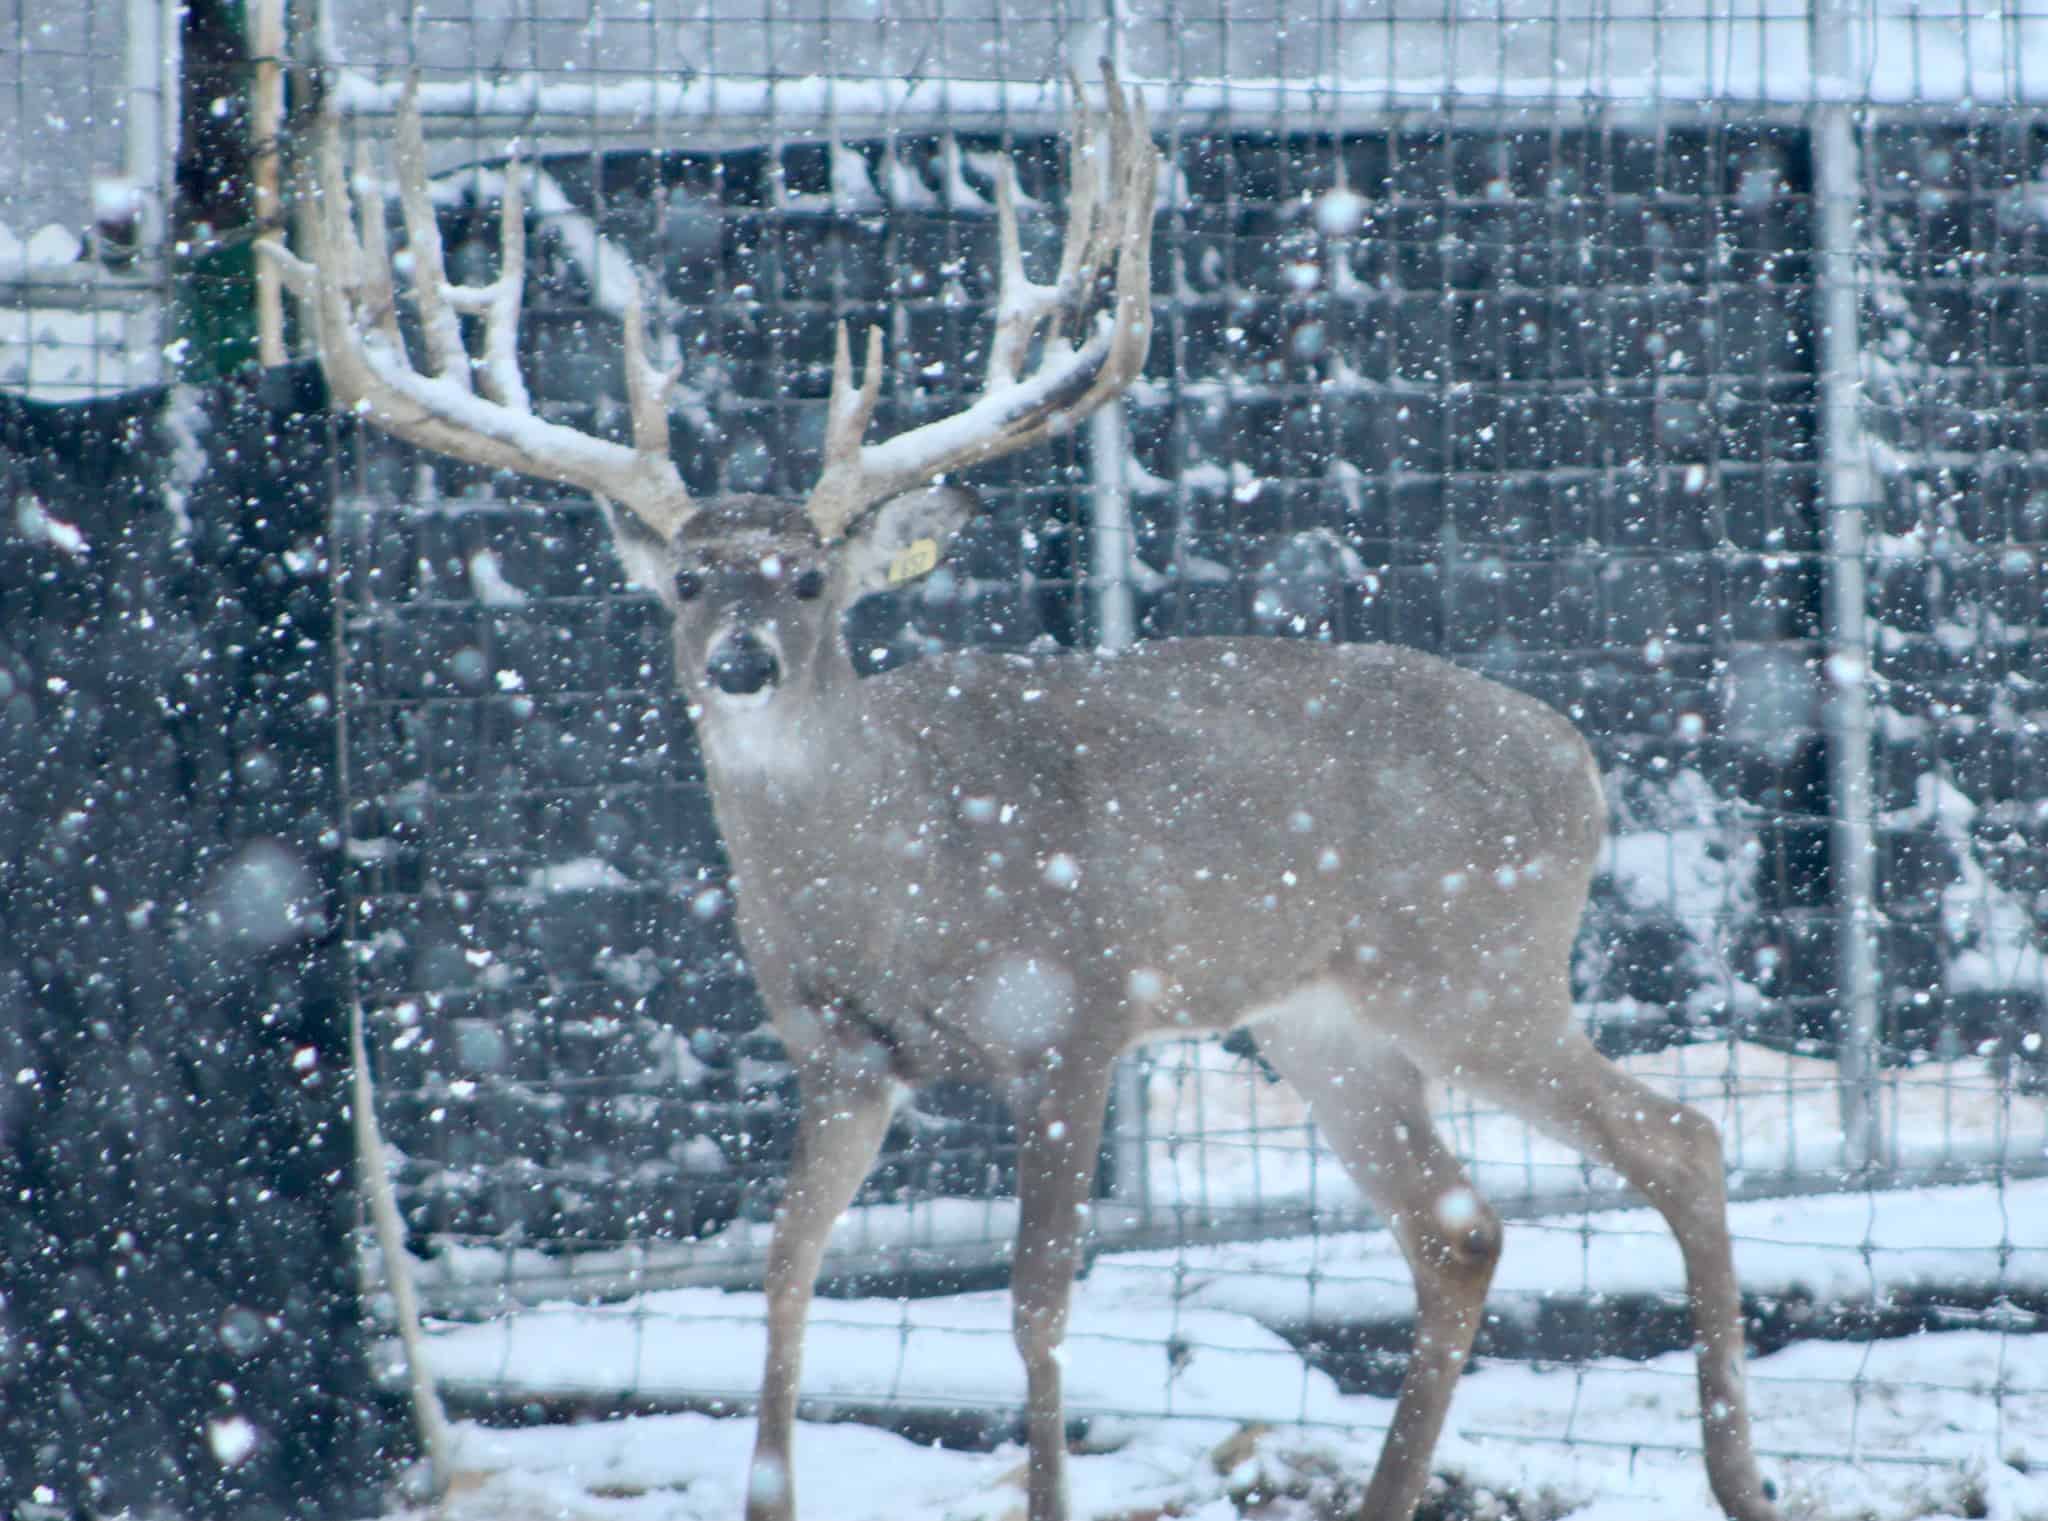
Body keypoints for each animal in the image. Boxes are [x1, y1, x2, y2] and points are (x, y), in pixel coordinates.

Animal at [267, 66, 1782, 1521]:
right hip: (1318, 1019)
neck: (899, 878)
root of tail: (1577, 756)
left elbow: (1037, 1303)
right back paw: (1393, 1498)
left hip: (1474, 966)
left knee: (1682, 1137)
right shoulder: (836, 1052)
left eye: (807, 578)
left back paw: (1736, 1481)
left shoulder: (1076, 1017)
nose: (744, 664)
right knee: (1460, 1225)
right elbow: (785, 1272)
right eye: (690, 579)